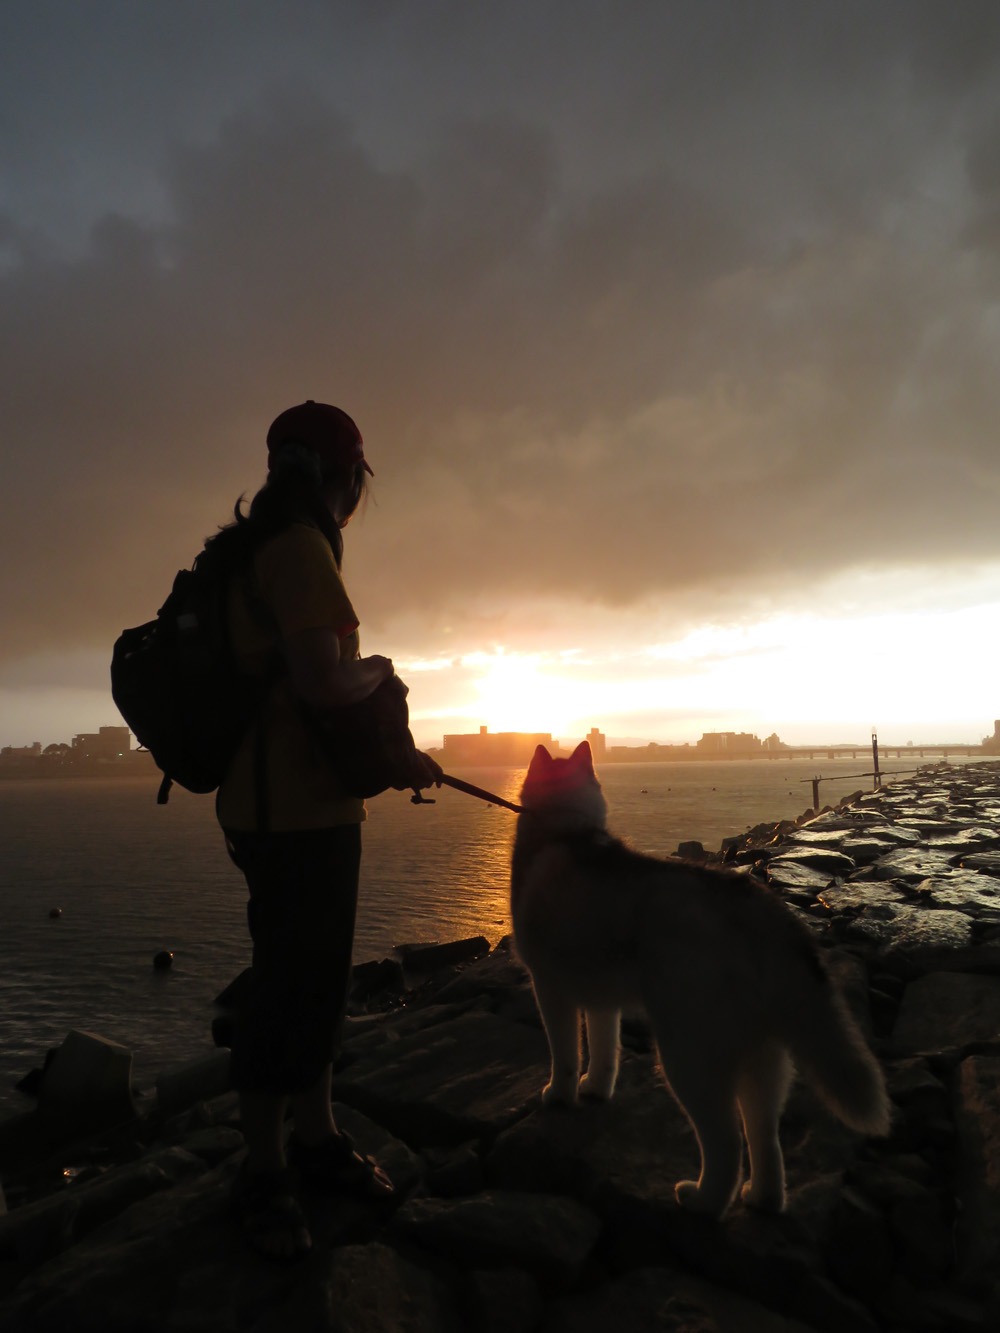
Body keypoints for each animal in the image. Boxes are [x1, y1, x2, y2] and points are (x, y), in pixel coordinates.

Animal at [512, 741, 896, 1221]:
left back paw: (703, 1202)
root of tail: (763, 908)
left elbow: (564, 1054)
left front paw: (560, 1095)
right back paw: (761, 1199)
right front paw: (595, 1089)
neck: (563, 832)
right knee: (764, 1138)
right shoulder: (602, 998)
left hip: (687, 1054)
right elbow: (603, 1053)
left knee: (727, 1142)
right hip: (763, 1057)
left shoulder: (550, 988)